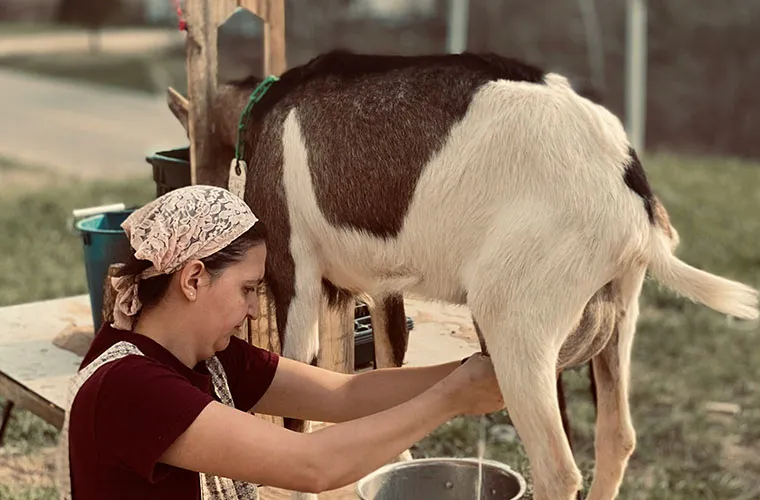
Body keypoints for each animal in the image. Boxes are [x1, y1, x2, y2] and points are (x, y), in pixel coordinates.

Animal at [166, 50, 759, 500]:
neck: (264, 111)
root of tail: (629, 191)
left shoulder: (297, 274)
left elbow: (296, 393)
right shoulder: (379, 287)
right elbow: (373, 368)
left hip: (516, 324)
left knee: (558, 468)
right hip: (620, 315)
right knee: (618, 438)